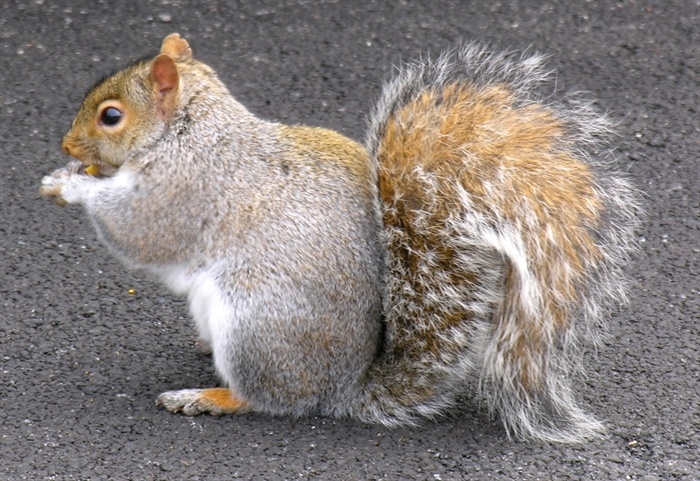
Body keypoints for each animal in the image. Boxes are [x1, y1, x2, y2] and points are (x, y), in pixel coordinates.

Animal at [40, 33, 639, 443]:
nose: (67, 144)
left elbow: (139, 232)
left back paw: (207, 396)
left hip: (254, 325)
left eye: (111, 116)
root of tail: (344, 386)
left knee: (267, 399)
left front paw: (71, 185)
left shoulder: (186, 187)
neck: (189, 129)